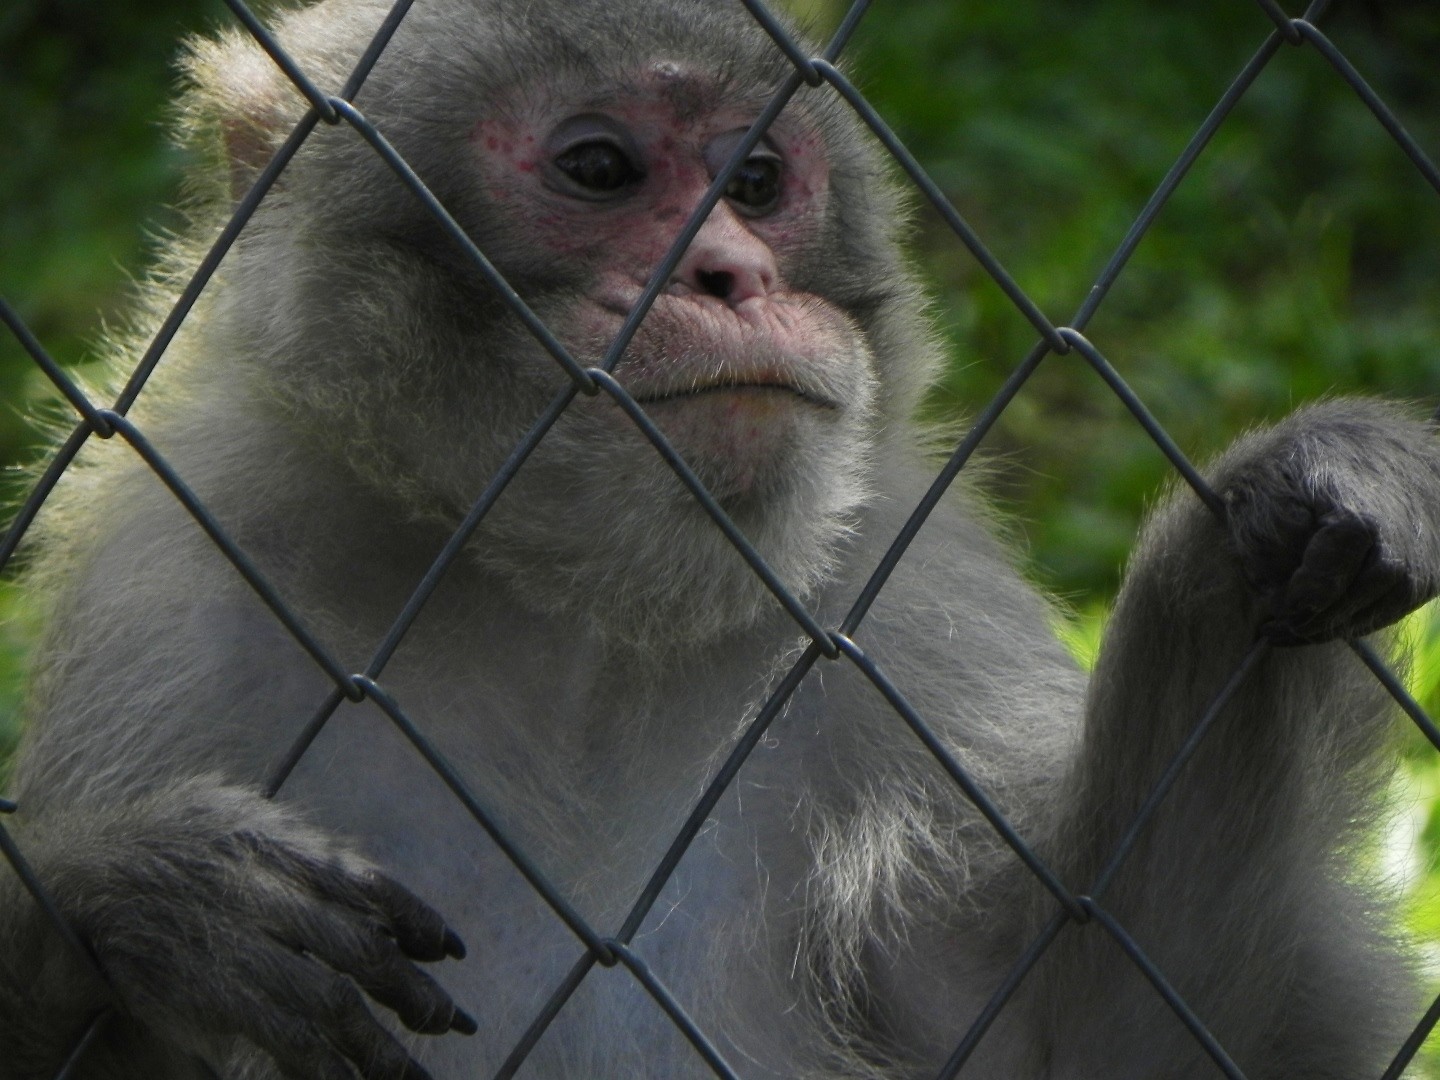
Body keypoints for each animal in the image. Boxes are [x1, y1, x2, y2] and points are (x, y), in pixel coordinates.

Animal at [2, 0, 1439, 1077]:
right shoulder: (174, 602)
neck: (580, 615)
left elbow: (1098, 1045)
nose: (735, 276)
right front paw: (128, 901)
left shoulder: (893, 607)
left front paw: (1277, 516)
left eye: (756, 182)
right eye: (600, 169)